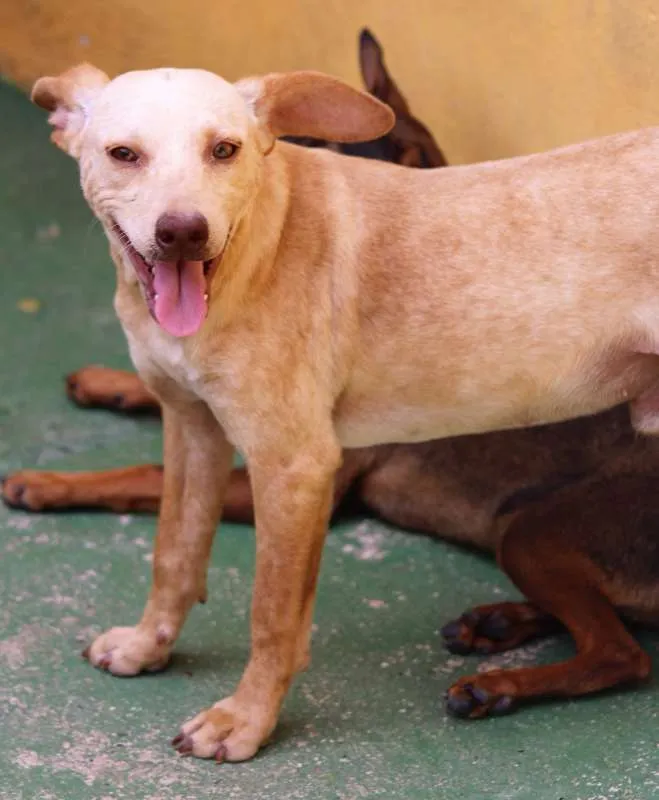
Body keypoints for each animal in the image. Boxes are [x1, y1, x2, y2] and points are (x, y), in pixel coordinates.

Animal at [25, 26, 659, 764]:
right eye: (123, 154)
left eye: (225, 149)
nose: (182, 231)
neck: (255, 250)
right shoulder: (192, 427)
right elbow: (173, 552)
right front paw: (146, 647)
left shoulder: (298, 468)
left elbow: (271, 615)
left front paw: (245, 721)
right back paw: (494, 627)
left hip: (534, 528)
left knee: (624, 652)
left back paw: (495, 679)